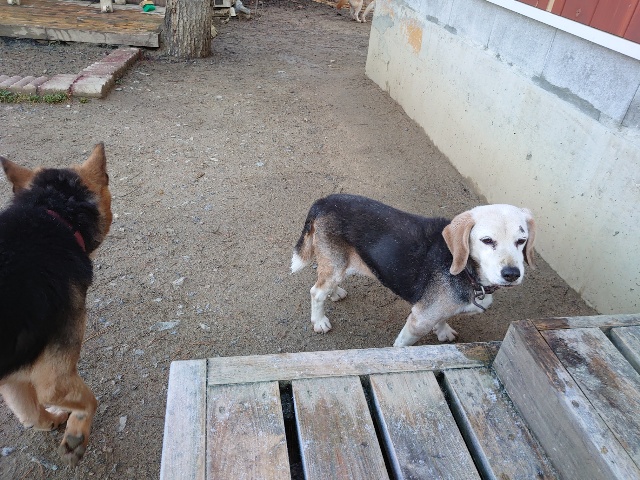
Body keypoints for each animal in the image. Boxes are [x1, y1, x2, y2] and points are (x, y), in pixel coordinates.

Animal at [0, 143, 112, 466]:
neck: (51, 215)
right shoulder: (54, 376)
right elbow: (87, 399)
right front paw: (76, 434)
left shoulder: (12, 377)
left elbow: (31, 414)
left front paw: (54, 421)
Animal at [291, 194, 535, 346]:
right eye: (487, 240)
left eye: (521, 240)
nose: (512, 274)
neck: (466, 270)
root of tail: (324, 201)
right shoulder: (419, 321)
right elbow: (403, 344)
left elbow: (443, 318)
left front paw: (443, 331)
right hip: (335, 264)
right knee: (316, 292)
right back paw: (320, 321)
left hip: (342, 264)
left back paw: (335, 293)